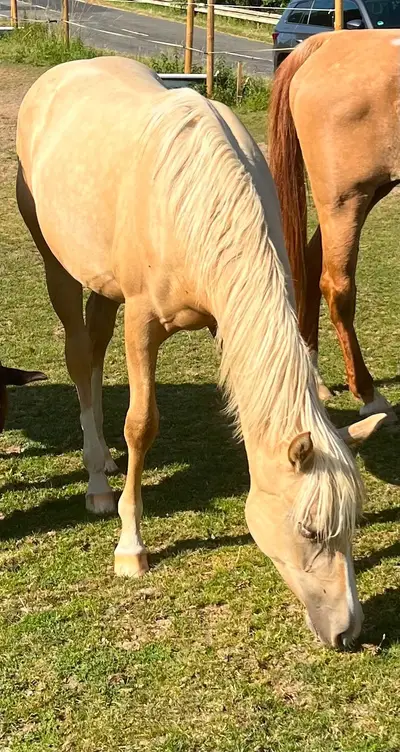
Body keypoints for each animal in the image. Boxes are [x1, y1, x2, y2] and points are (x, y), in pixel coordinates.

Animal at [16, 57, 385, 648]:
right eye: (308, 529)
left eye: (349, 524)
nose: (347, 632)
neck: (194, 202)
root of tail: (61, 73)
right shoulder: (142, 323)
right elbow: (141, 424)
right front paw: (131, 547)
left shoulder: (226, 320)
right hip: (59, 267)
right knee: (78, 357)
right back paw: (97, 482)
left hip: (103, 284)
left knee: (93, 353)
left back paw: (104, 463)